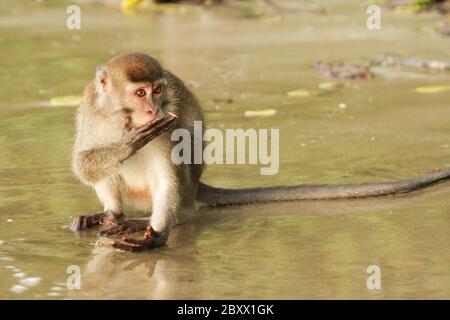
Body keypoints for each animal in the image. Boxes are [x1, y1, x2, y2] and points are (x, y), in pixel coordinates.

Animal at [70, 53, 450, 252]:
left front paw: (155, 237)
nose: (153, 109)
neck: (122, 116)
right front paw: (129, 143)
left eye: (158, 90)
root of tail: (196, 191)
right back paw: (112, 215)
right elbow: (84, 163)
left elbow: (167, 177)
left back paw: (141, 223)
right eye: (140, 93)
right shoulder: (92, 109)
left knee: (177, 194)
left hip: (179, 191)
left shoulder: (169, 123)